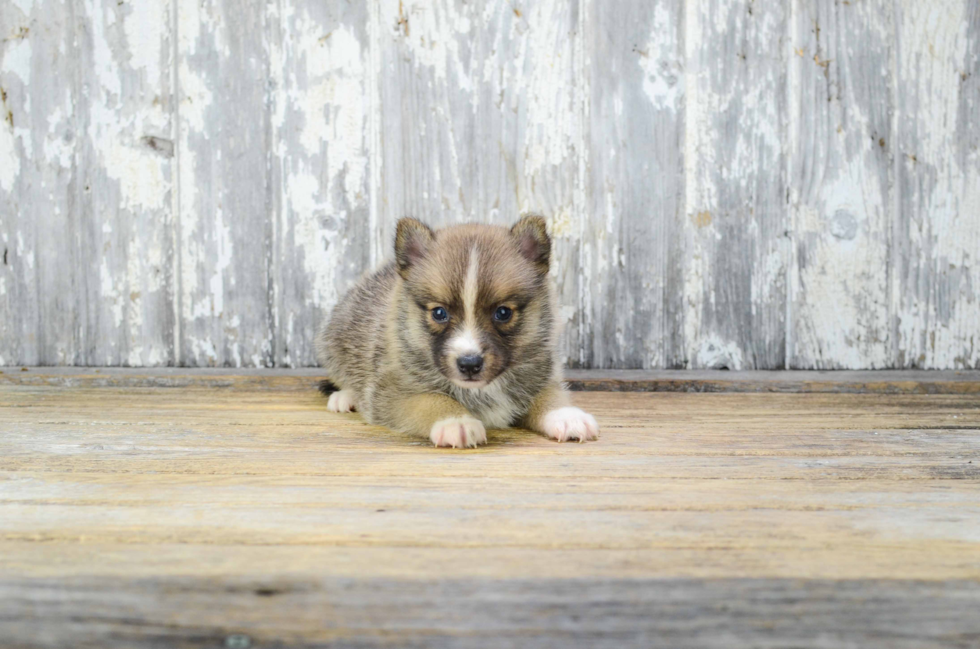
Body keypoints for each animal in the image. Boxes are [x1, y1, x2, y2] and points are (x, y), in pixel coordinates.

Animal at [318, 215, 600, 448]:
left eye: (503, 313)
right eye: (439, 313)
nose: (469, 364)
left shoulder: (541, 374)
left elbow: (549, 395)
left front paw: (566, 416)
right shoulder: (393, 392)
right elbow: (430, 400)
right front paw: (456, 421)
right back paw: (344, 397)